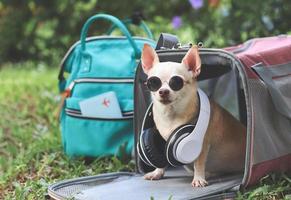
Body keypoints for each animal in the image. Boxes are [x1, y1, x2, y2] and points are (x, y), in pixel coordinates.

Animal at [141, 43, 246, 188]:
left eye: (176, 82)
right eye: (153, 82)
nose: (163, 91)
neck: (172, 115)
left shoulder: (202, 145)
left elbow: (198, 163)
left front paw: (198, 178)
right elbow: (160, 159)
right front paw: (157, 172)